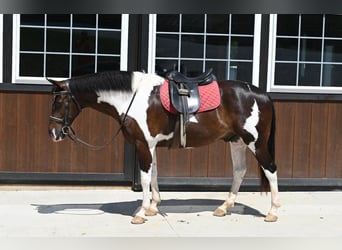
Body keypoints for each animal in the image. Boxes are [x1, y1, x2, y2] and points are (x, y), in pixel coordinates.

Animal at [48, 69, 282, 224]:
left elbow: (144, 178)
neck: (132, 98)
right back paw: (223, 208)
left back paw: (272, 212)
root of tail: (261, 94)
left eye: (59, 100)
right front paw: (153, 207)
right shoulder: (150, 146)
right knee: (239, 171)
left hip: (255, 142)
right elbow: (153, 175)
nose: (53, 133)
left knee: (270, 170)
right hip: (237, 141)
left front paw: (141, 213)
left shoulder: (143, 145)